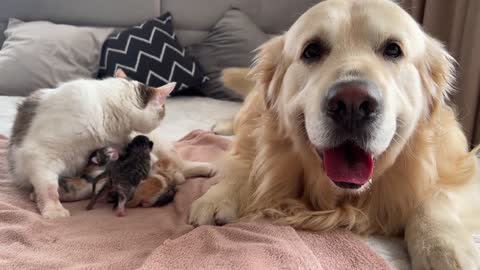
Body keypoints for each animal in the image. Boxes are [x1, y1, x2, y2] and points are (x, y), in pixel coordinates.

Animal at [7, 68, 214, 218]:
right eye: (162, 109)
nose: (163, 115)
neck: (107, 111)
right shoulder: (41, 155)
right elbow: (48, 186)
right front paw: (53, 209)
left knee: (180, 165)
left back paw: (203, 169)